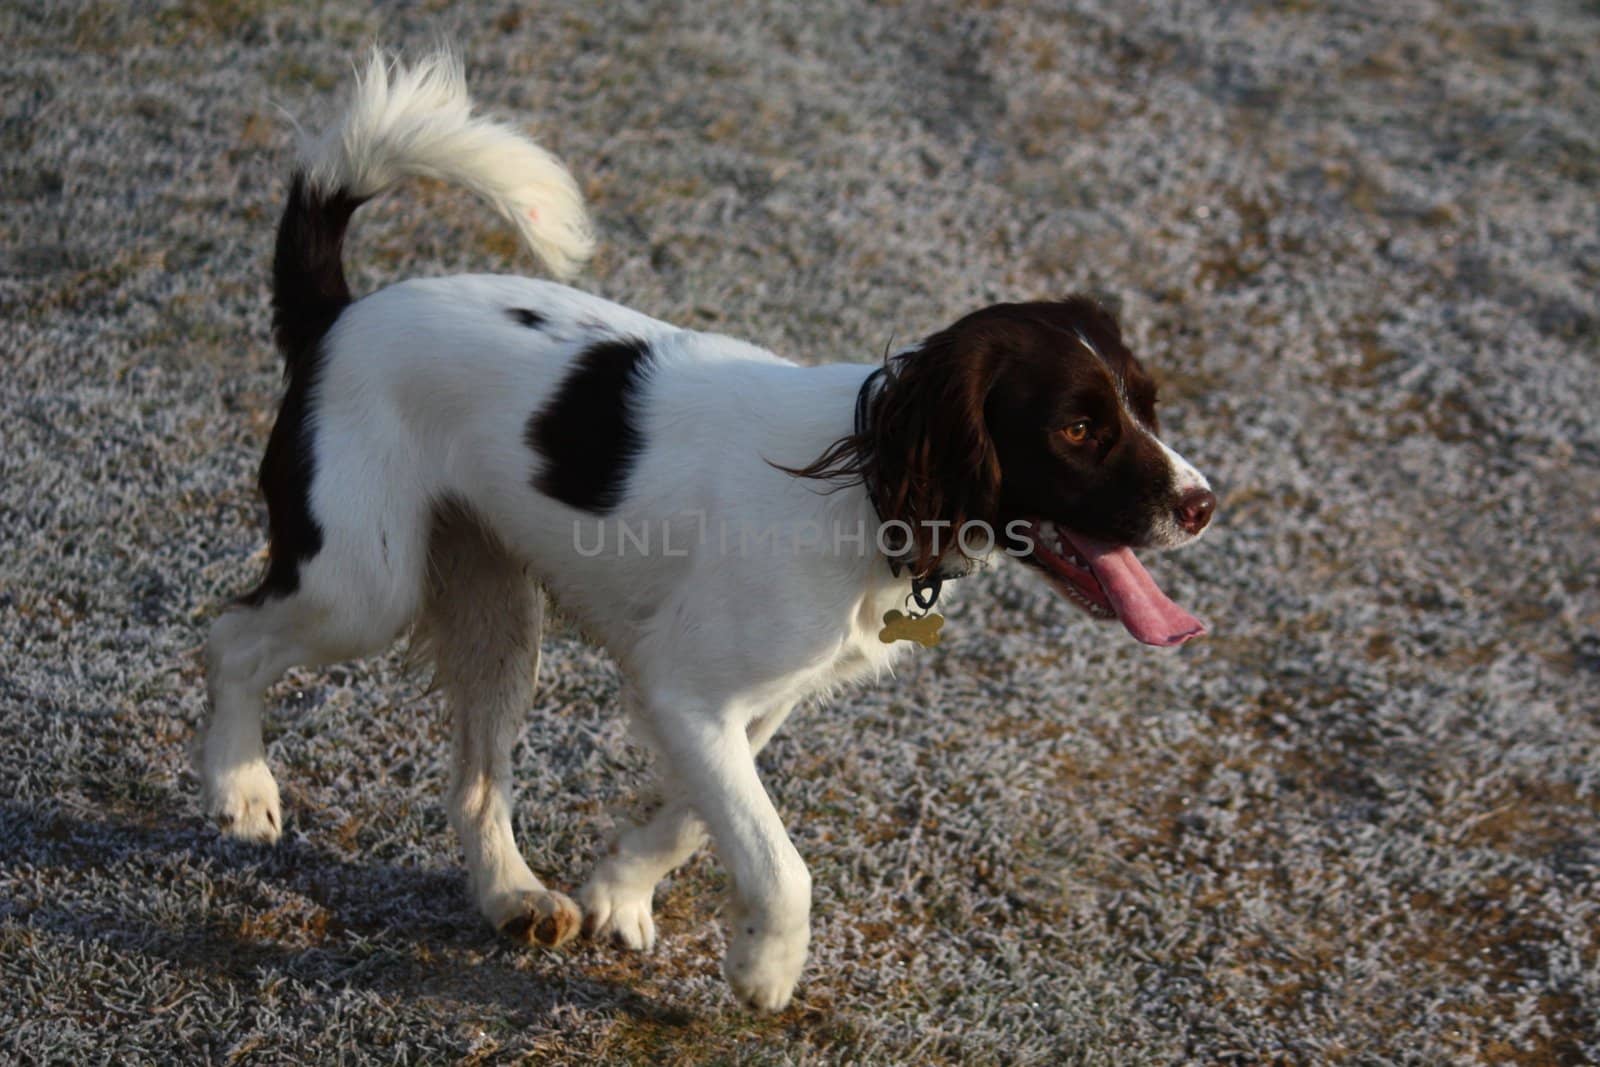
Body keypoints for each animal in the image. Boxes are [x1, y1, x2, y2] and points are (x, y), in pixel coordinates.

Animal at [206, 49, 1216, 1017]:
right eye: (1077, 429)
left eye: (1148, 404)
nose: (1204, 504)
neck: (864, 488)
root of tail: (340, 315)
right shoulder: (686, 689)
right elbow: (777, 857)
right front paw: (766, 969)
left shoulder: (743, 702)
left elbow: (699, 817)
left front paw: (618, 892)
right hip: (360, 584)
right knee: (233, 634)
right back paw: (238, 785)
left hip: (499, 617)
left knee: (475, 779)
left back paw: (513, 895)